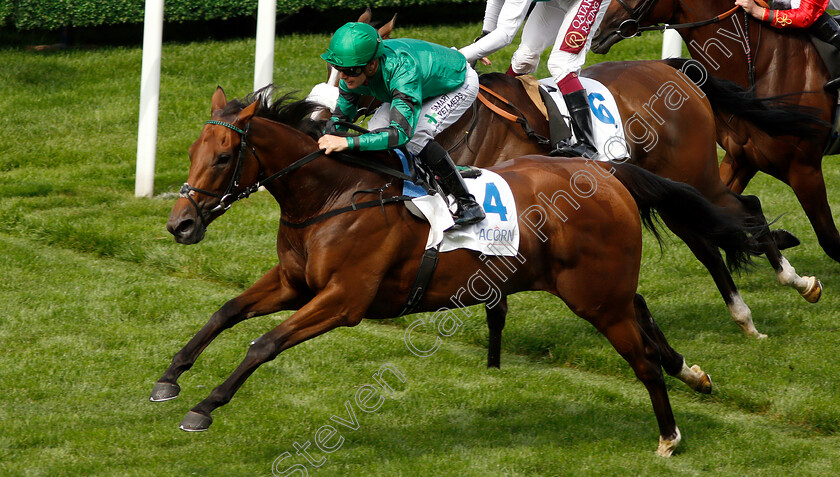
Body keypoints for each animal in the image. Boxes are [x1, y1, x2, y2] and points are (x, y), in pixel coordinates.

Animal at [148, 87, 756, 456]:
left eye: (223, 157)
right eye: (192, 150)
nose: (181, 224)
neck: (331, 196)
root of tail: (605, 174)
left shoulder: (343, 300)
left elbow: (264, 343)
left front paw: (204, 408)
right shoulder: (296, 283)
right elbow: (226, 311)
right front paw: (170, 377)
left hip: (595, 297)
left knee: (642, 360)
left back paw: (669, 435)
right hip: (602, 288)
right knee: (645, 318)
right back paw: (692, 374)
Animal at [592, 0, 840, 264]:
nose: (596, 33)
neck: (763, 64)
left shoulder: (803, 170)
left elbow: (830, 241)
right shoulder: (740, 158)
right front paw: (775, 238)